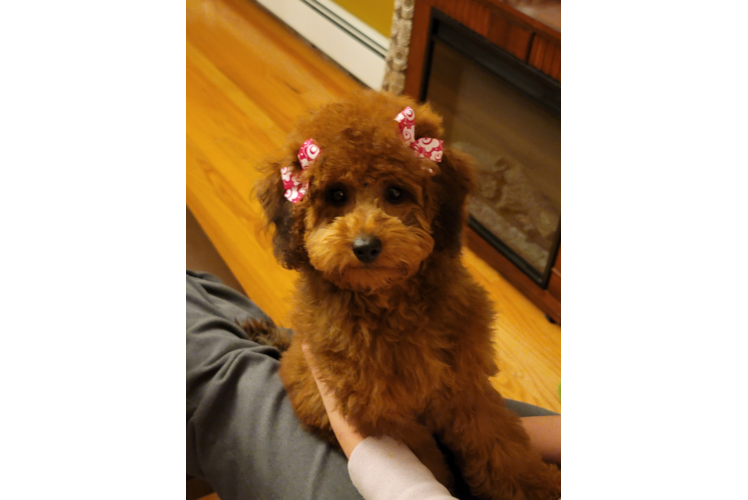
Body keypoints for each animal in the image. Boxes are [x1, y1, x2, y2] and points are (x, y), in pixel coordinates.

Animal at [254, 90, 560, 500]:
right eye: (336, 195)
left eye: (395, 192)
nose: (366, 246)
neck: (388, 301)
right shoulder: (385, 416)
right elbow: (429, 463)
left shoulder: (463, 385)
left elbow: (497, 442)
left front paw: (534, 487)